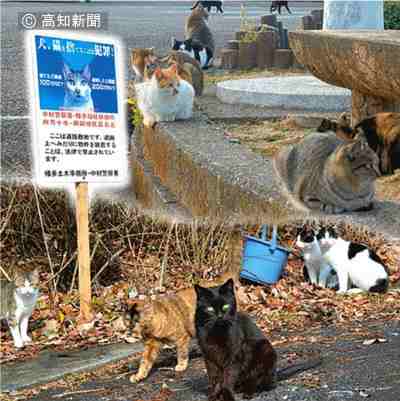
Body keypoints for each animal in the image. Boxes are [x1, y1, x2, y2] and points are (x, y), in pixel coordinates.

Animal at [194, 278, 322, 400]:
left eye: (226, 306)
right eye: (210, 309)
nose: (220, 316)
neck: (216, 332)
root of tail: (276, 375)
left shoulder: (234, 356)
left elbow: (228, 379)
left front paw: (227, 396)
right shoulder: (209, 356)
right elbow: (215, 379)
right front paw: (214, 395)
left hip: (265, 350)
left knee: (262, 383)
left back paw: (248, 393)